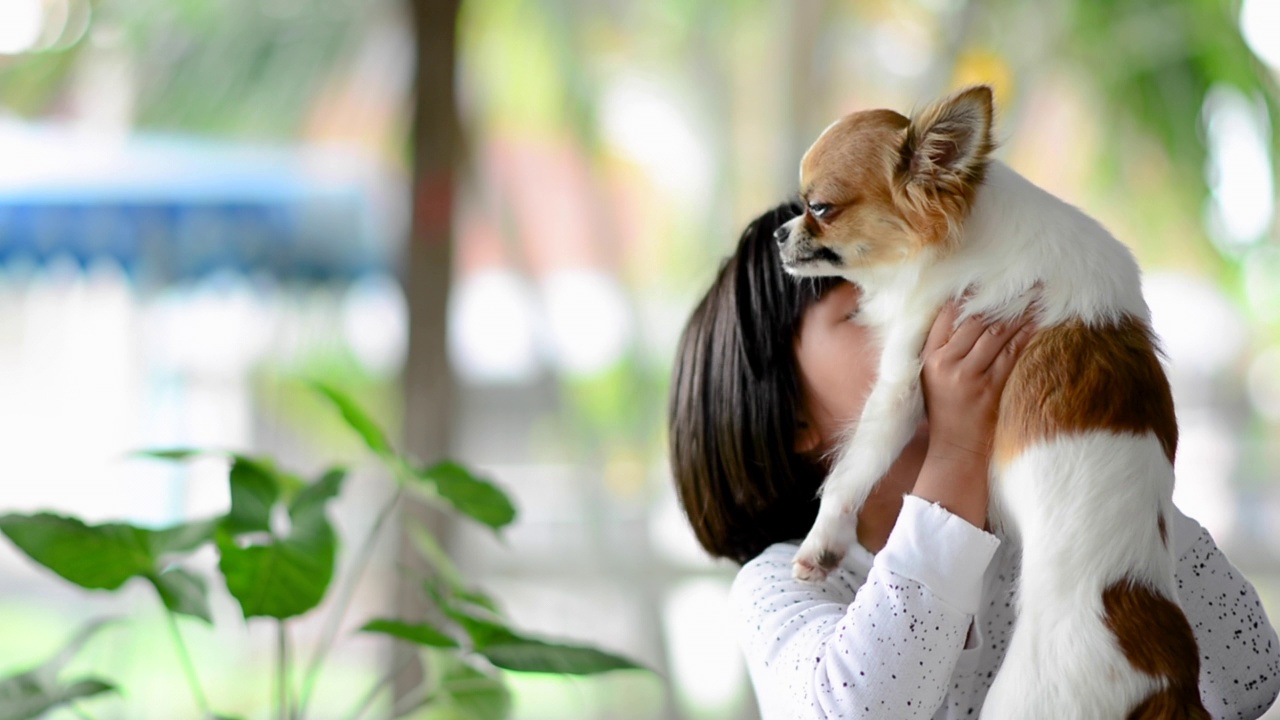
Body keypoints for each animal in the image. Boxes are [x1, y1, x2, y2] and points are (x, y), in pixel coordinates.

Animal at [773, 85, 1203, 717]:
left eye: (820, 208)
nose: (778, 233)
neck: (968, 231)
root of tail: (1165, 678)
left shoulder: (902, 383)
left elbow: (849, 474)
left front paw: (820, 544)